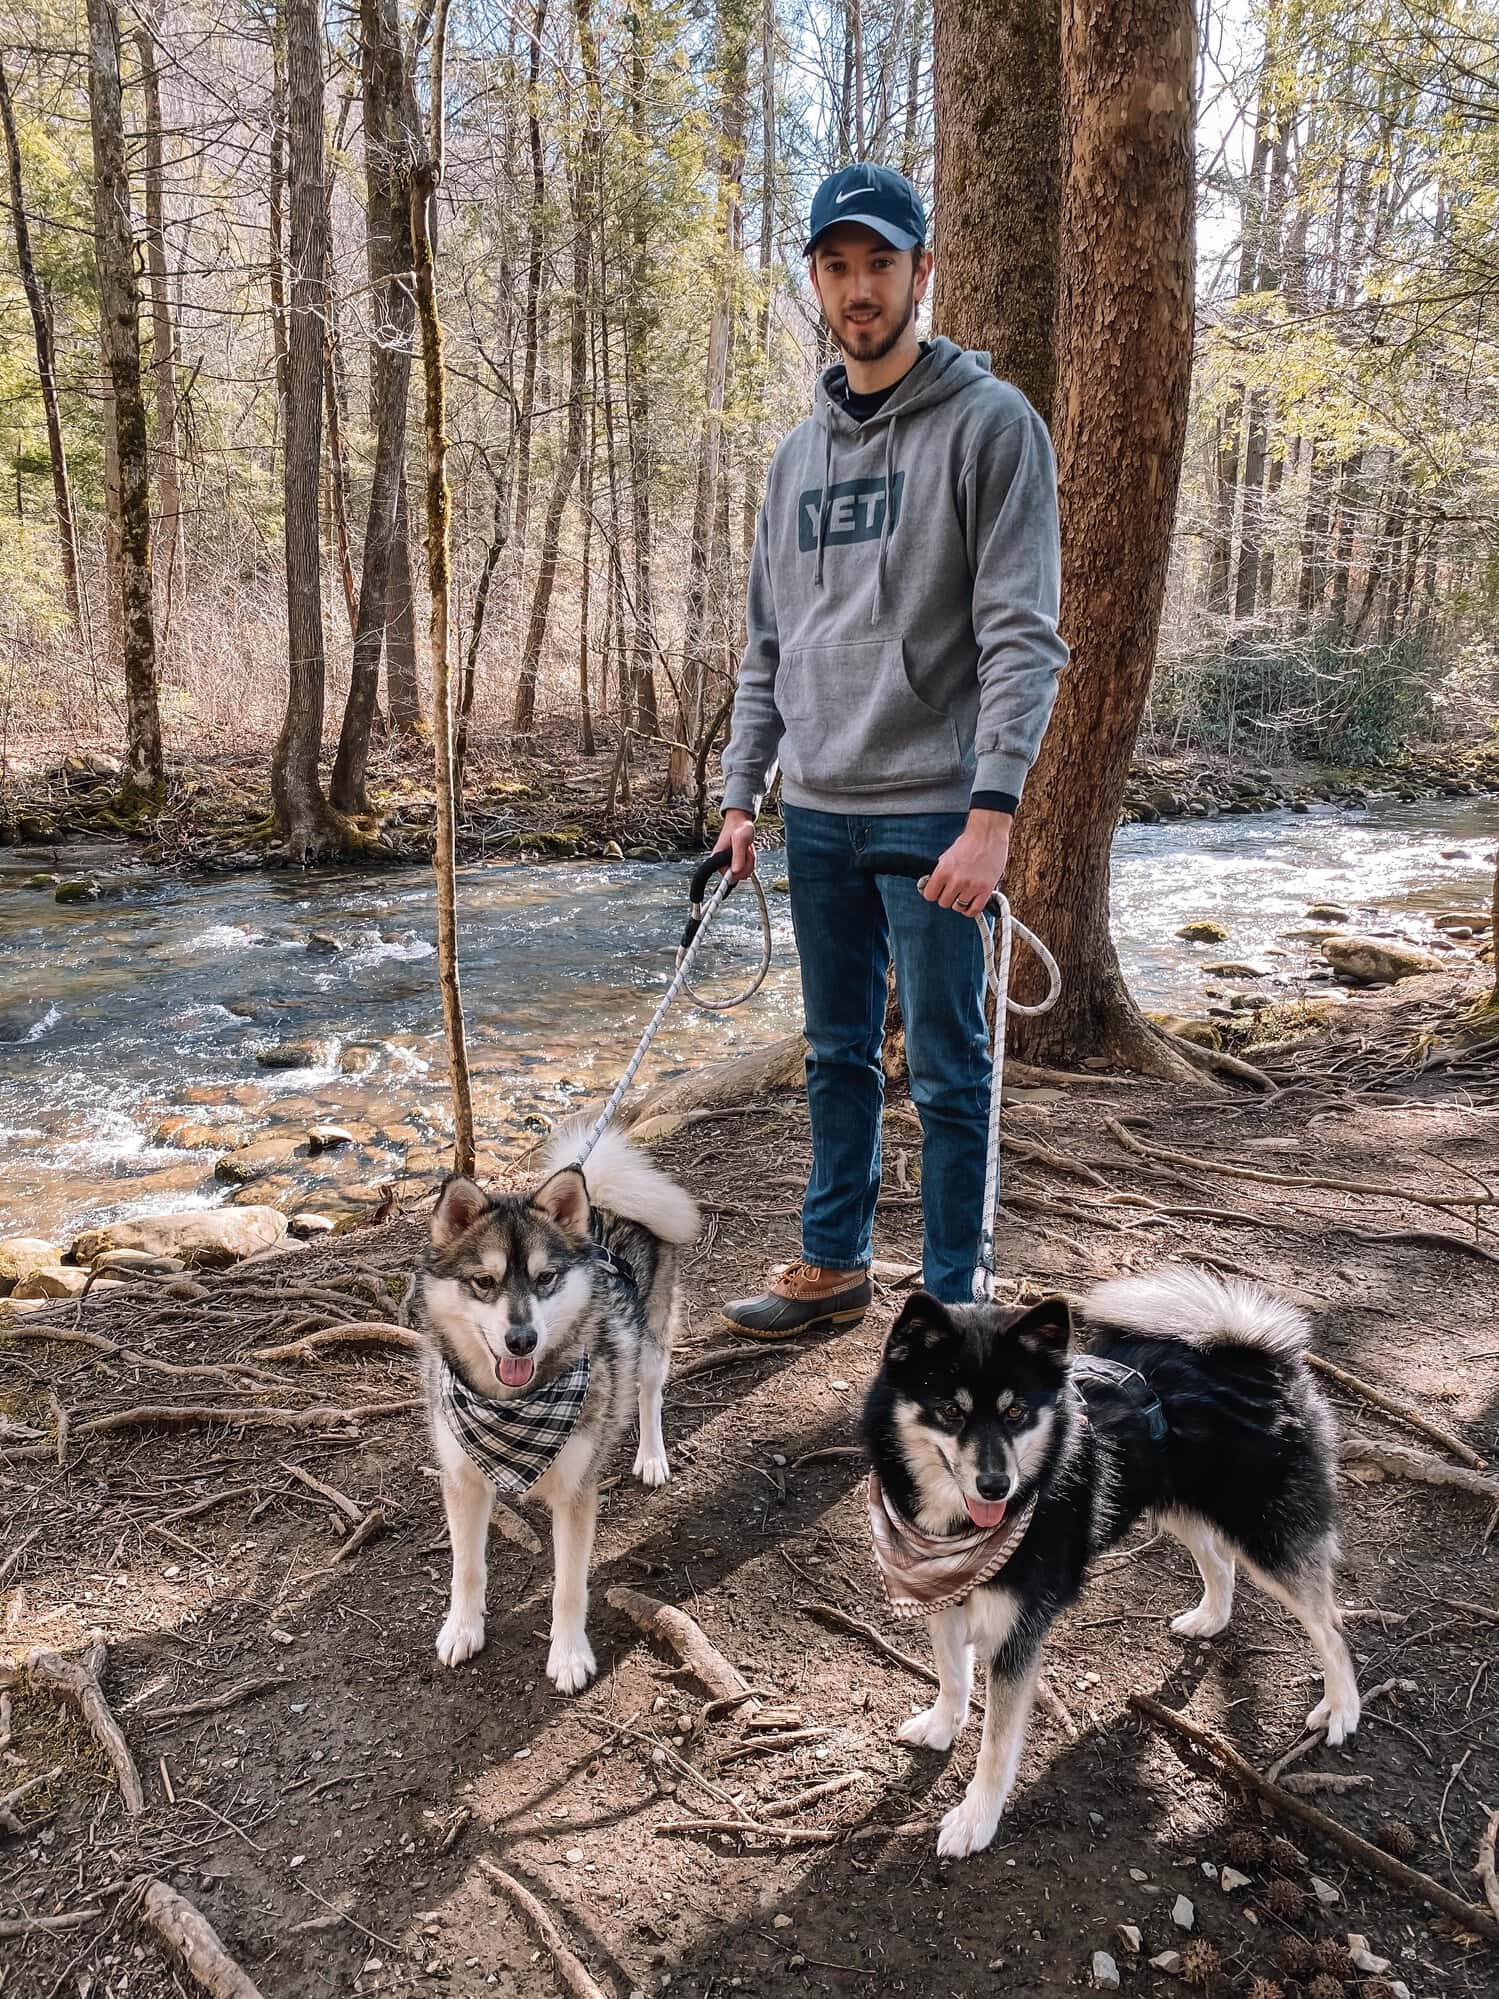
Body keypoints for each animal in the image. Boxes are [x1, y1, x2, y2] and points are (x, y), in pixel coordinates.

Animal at [405, 1127, 699, 1687]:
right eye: (484, 1282)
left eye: (545, 1279)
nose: (521, 1340)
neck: (511, 1408)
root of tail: (603, 1204)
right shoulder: (463, 1480)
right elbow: (466, 1567)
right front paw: (463, 1628)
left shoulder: (576, 1493)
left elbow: (568, 1586)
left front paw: (568, 1655)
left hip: (651, 1345)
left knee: (648, 1395)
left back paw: (651, 1456)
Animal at [855, 1263, 1359, 1855]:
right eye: (951, 1411)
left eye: (1017, 1412)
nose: (997, 1486)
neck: (957, 1532)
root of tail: (1256, 1353)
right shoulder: (946, 1598)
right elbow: (953, 1675)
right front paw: (941, 1726)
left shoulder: (1016, 1635)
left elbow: (997, 1744)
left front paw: (976, 1819)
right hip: (1176, 1503)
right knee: (1221, 1563)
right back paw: (1211, 1619)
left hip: (1268, 1538)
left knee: (1330, 1626)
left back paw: (1342, 1707)